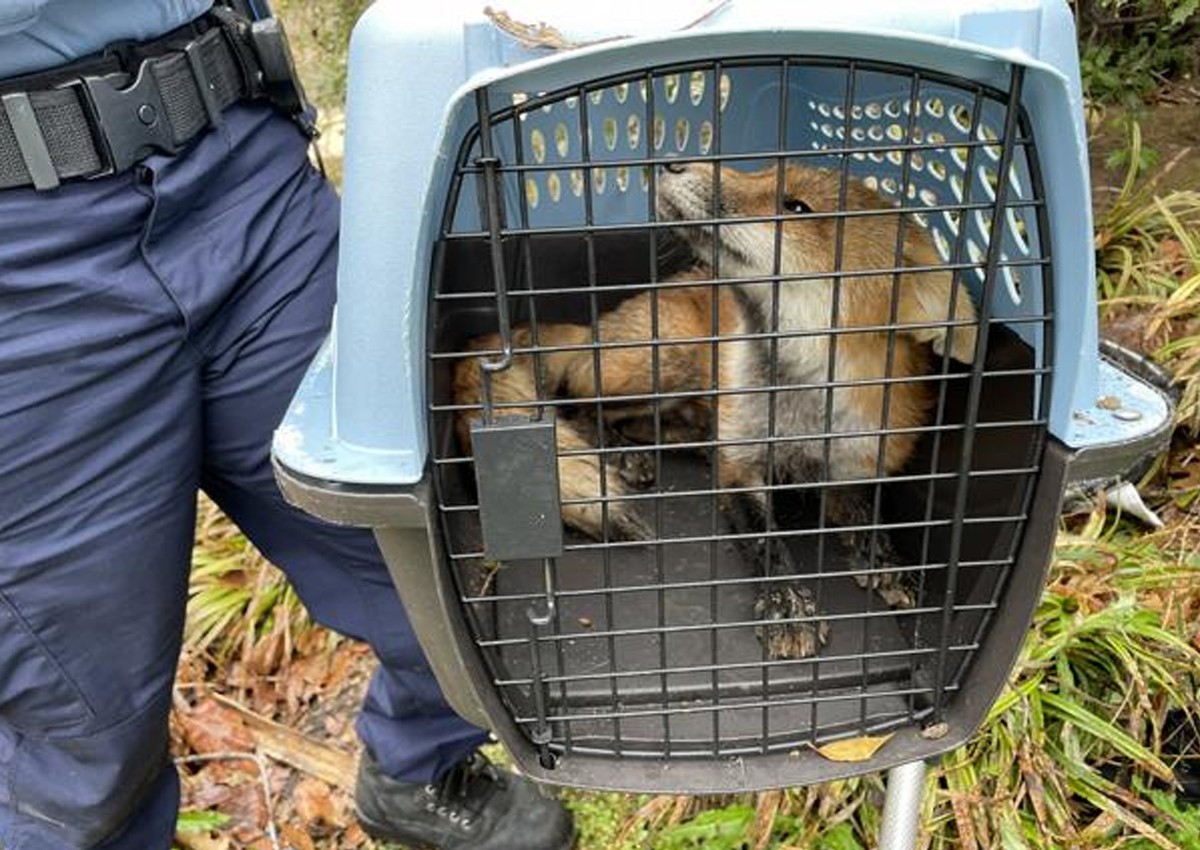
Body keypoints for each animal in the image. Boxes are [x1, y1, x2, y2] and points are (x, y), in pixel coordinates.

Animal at [453, 161, 979, 658]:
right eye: (761, 169)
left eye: (796, 207)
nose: (672, 163)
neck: (799, 410)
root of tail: (596, 327)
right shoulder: (740, 467)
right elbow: (766, 540)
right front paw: (788, 605)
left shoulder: (854, 461)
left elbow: (867, 513)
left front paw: (887, 562)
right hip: (666, 358)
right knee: (579, 404)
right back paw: (623, 452)